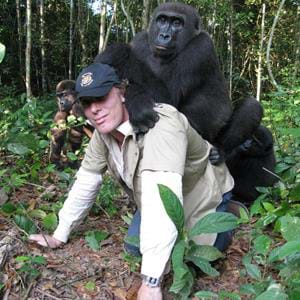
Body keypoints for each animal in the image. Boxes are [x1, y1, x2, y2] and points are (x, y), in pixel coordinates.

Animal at [95, 1, 276, 202]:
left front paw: (118, 55)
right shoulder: (141, 40)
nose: (164, 35)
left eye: (177, 23)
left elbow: (168, 100)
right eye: (162, 20)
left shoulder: (201, 47)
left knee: (252, 107)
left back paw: (220, 151)